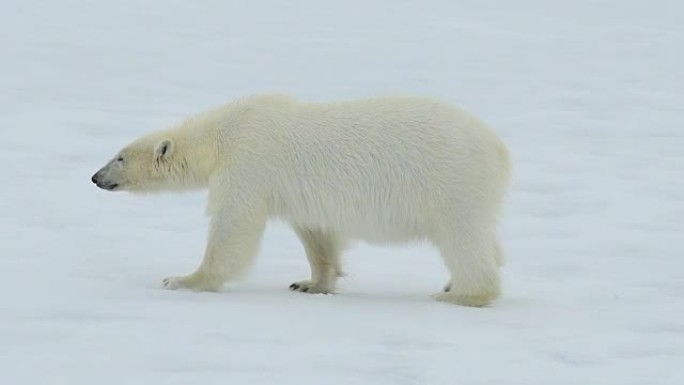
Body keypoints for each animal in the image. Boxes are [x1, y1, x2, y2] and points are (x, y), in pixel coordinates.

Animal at [91, 94, 510, 308]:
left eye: (119, 157)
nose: (95, 177)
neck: (221, 135)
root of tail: (498, 148)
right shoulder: (295, 192)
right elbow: (316, 234)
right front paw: (311, 284)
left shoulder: (248, 163)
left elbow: (232, 226)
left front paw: (183, 279)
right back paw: (452, 284)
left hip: (450, 181)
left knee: (462, 238)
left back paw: (462, 294)